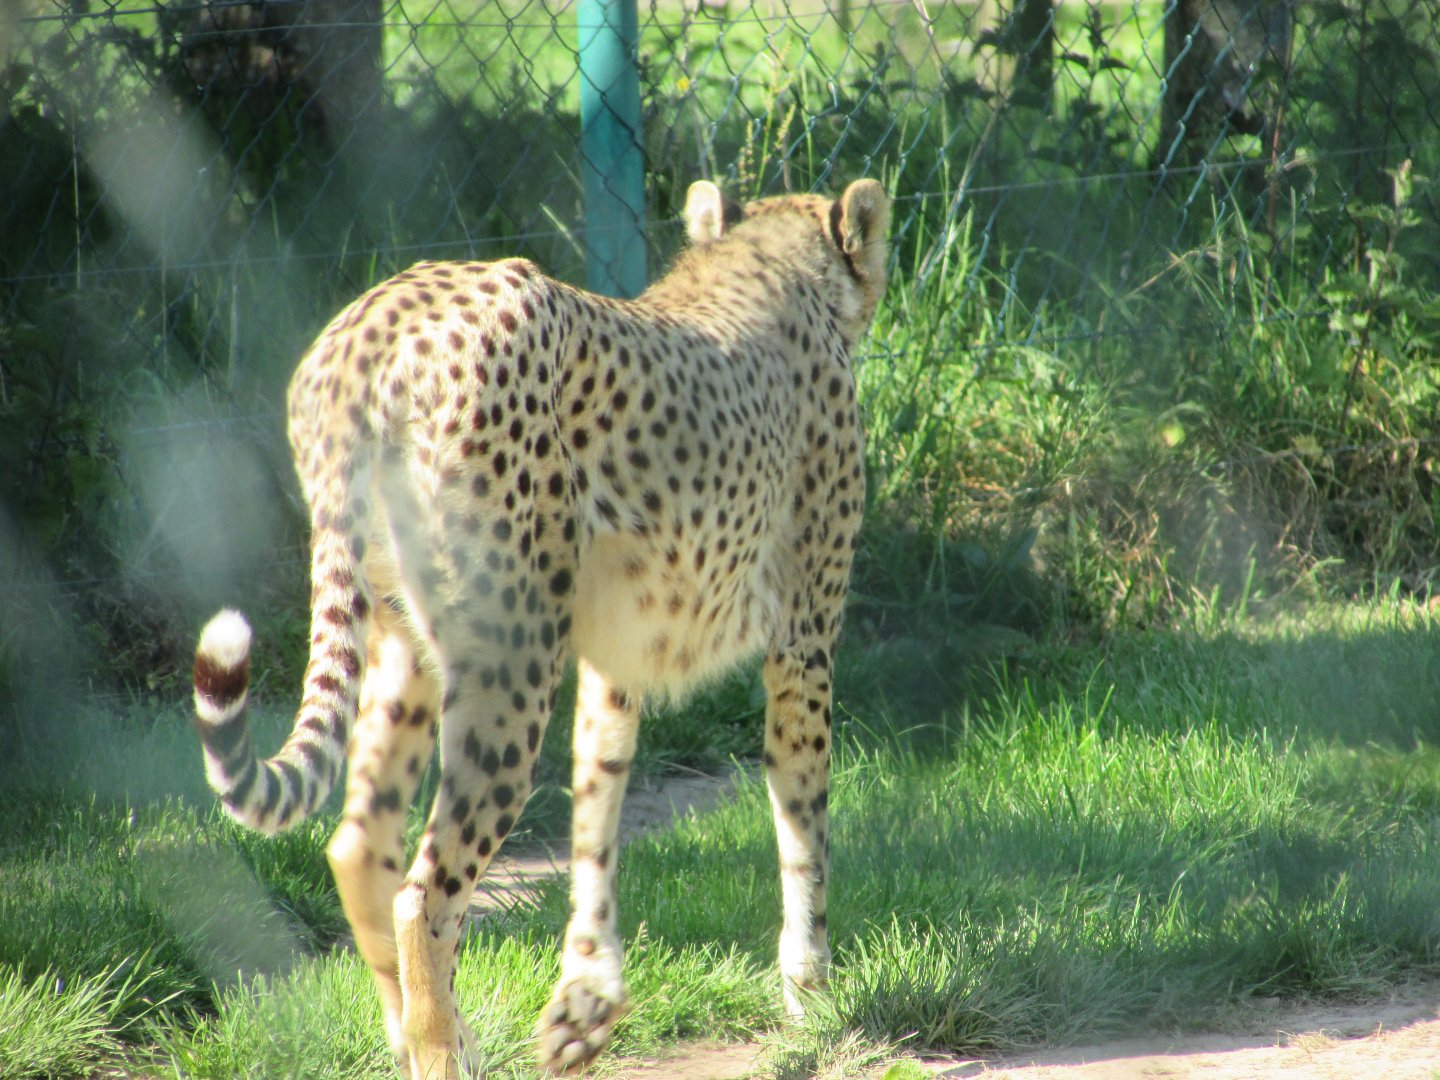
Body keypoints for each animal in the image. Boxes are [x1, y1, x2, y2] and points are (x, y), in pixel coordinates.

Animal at [190, 177, 891, 1078]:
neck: (769, 261)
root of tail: (373, 320)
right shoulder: (803, 640)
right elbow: (803, 816)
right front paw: (811, 989)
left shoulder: (616, 657)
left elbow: (598, 802)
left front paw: (585, 1003)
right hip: (511, 657)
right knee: (427, 891)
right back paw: (441, 1053)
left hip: (407, 644)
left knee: (359, 844)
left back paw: (422, 1034)